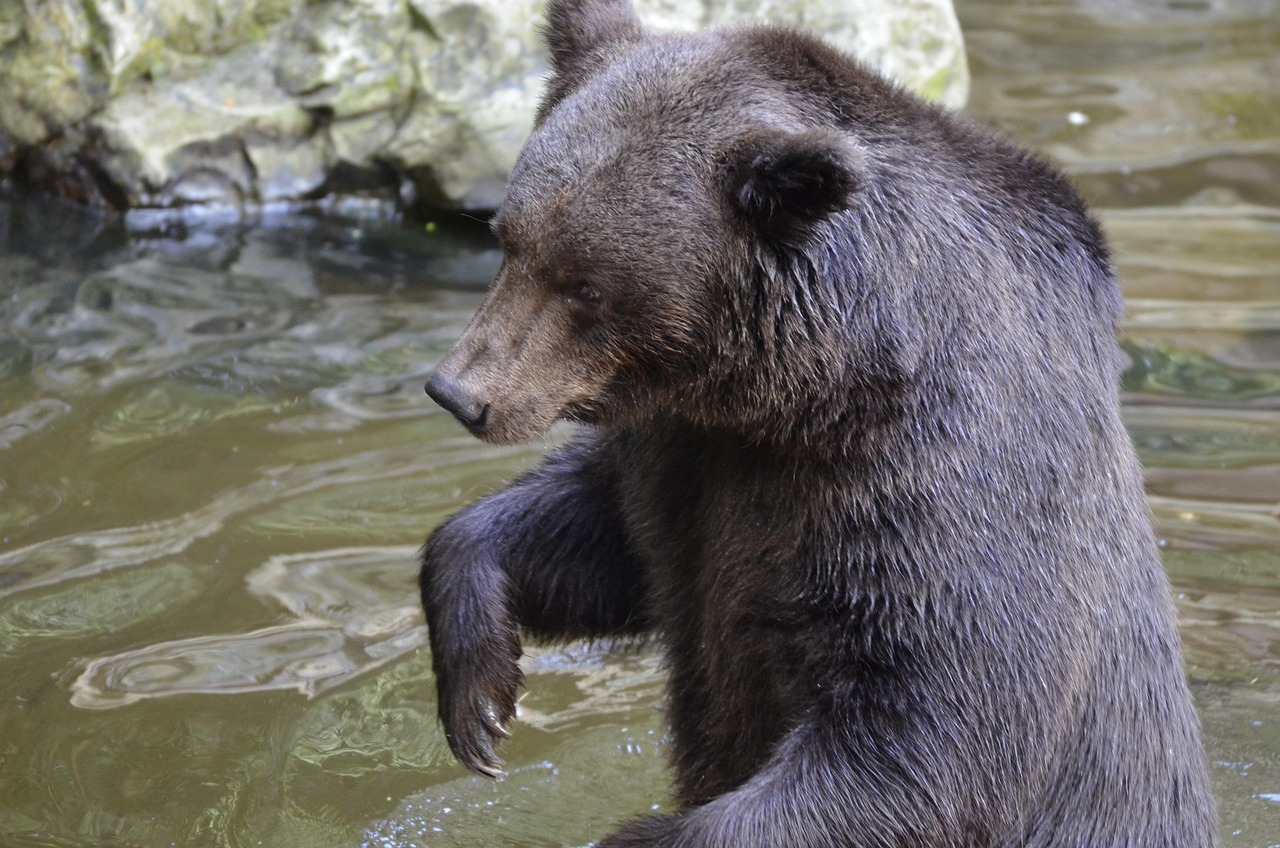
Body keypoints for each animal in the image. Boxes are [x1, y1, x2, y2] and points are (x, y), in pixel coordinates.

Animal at [417, 3, 1218, 845]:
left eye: (588, 286)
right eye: (507, 238)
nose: (460, 392)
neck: (806, 392)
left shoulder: (935, 475)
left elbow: (931, 734)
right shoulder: (687, 454)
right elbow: (606, 533)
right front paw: (480, 697)